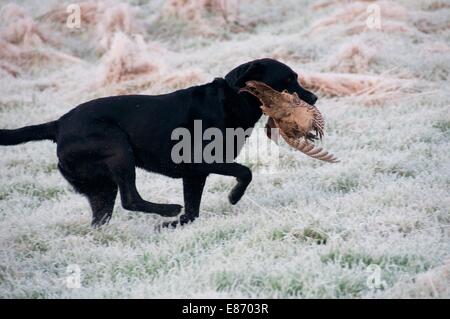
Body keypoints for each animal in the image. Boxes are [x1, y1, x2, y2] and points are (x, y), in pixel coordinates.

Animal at [0, 57, 316, 228]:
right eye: (288, 80)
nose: (313, 98)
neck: (232, 101)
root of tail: (58, 124)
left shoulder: (194, 174)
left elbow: (194, 210)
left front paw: (178, 225)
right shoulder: (201, 161)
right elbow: (245, 172)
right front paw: (234, 197)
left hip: (100, 186)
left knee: (103, 215)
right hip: (118, 149)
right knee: (130, 199)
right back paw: (168, 210)